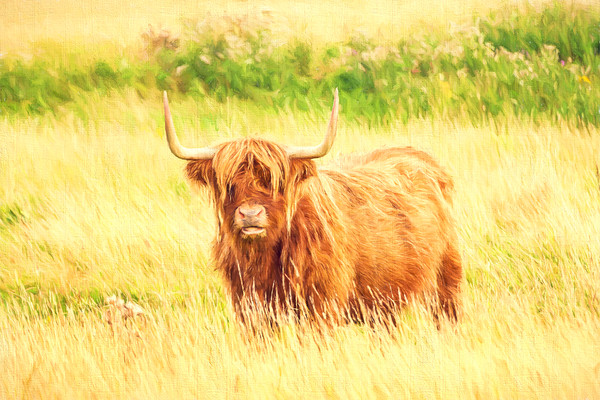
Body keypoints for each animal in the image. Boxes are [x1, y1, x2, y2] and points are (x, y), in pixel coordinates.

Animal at [164, 90, 464, 324]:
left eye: (276, 182)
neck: (264, 258)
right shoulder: (248, 307)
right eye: (228, 184)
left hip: (445, 283)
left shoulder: (322, 304)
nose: (250, 214)